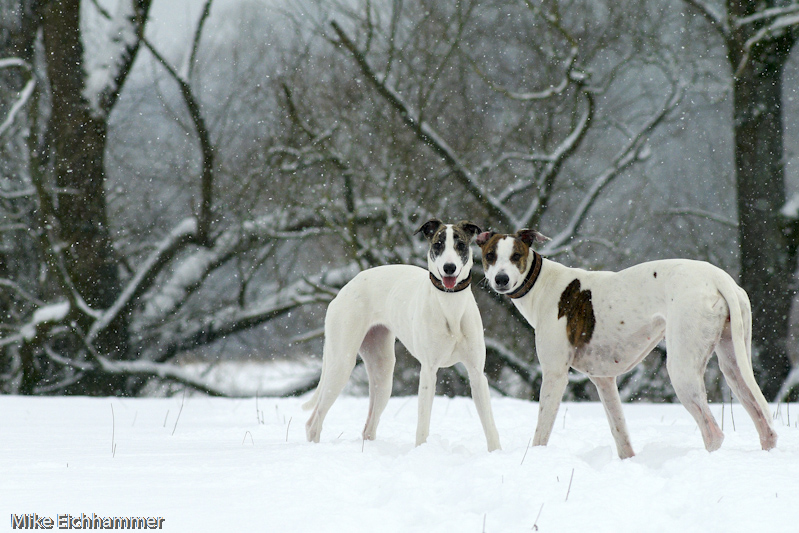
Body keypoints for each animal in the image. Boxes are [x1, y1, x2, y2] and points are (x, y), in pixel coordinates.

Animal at [304, 218, 500, 450]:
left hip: (383, 373)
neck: (450, 306)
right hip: (341, 363)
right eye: (438, 244)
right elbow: (423, 423)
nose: (449, 268)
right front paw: (421, 450)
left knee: (368, 426)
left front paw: (496, 453)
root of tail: (345, 288)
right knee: (313, 421)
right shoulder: (428, 371)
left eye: (460, 244)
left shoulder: (477, 374)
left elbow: (490, 424)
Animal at [476, 229, 776, 458]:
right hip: (734, 364)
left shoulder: (555, 375)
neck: (542, 284)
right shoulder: (604, 381)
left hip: (683, 370)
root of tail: (718, 277)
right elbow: (620, 433)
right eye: (490, 256)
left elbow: (541, 430)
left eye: (516, 256)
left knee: (713, 433)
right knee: (766, 426)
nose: (501, 279)